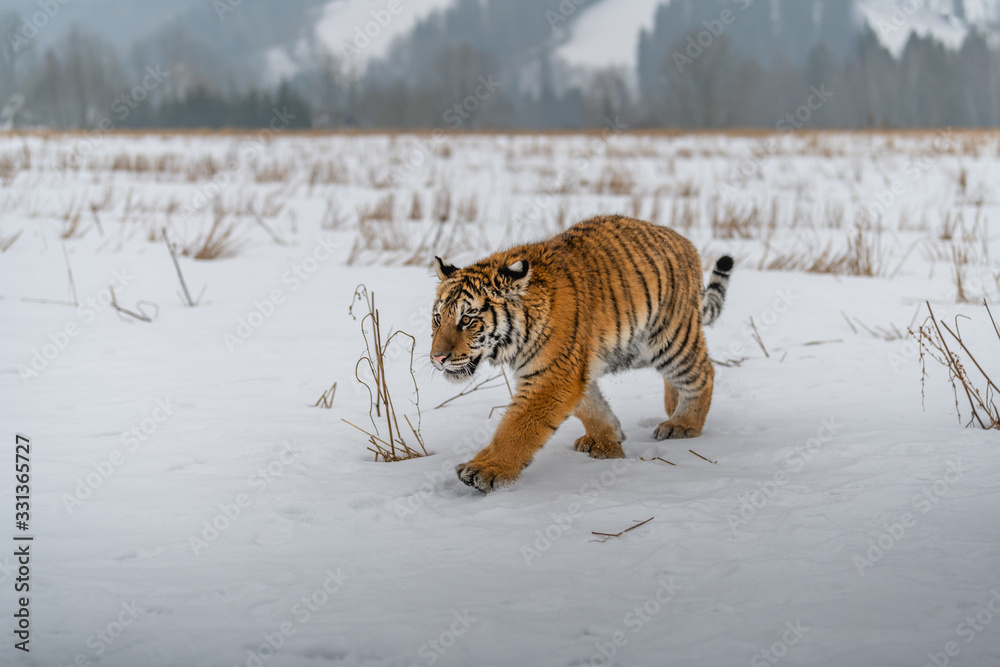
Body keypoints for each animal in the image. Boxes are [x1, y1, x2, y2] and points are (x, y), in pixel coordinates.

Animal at [430, 214, 733, 493]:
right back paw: (672, 407)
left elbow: (517, 427)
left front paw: (488, 469)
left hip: (669, 338)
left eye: (467, 320)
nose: (437, 358)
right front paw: (606, 441)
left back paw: (682, 424)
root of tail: (684, 242)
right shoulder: (573, 367)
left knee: (703, 372)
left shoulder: (553, 374)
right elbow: (591, 406)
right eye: (438, 318)